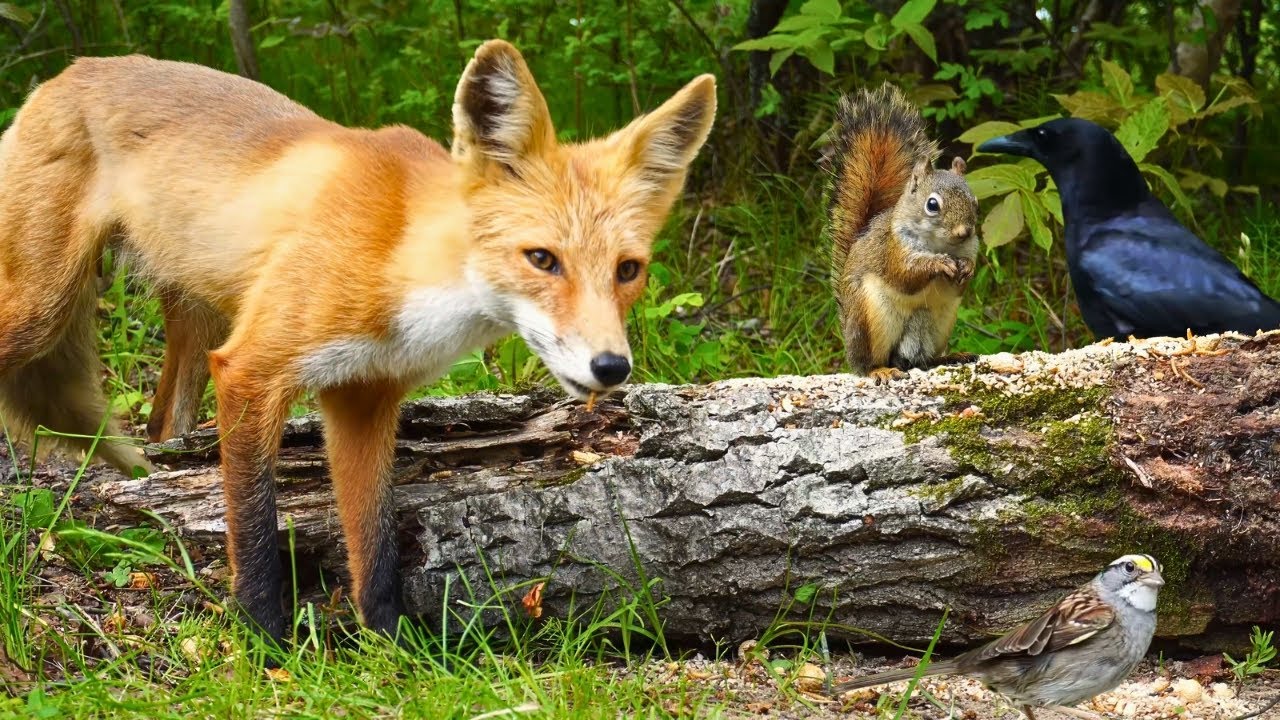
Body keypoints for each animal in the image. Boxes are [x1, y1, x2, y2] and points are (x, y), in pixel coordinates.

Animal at [0, 40, 717, 640]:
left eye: (628, 270)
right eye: (542, 259)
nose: (611, 367)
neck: (399, 260)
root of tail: (69, 71)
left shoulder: (363, 394)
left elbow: (374, 544)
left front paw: (395, 648)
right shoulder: (252, 368)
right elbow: (255, 529)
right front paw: (267, 644)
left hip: (193, 318)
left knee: (158, 429)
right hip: (41, 308)